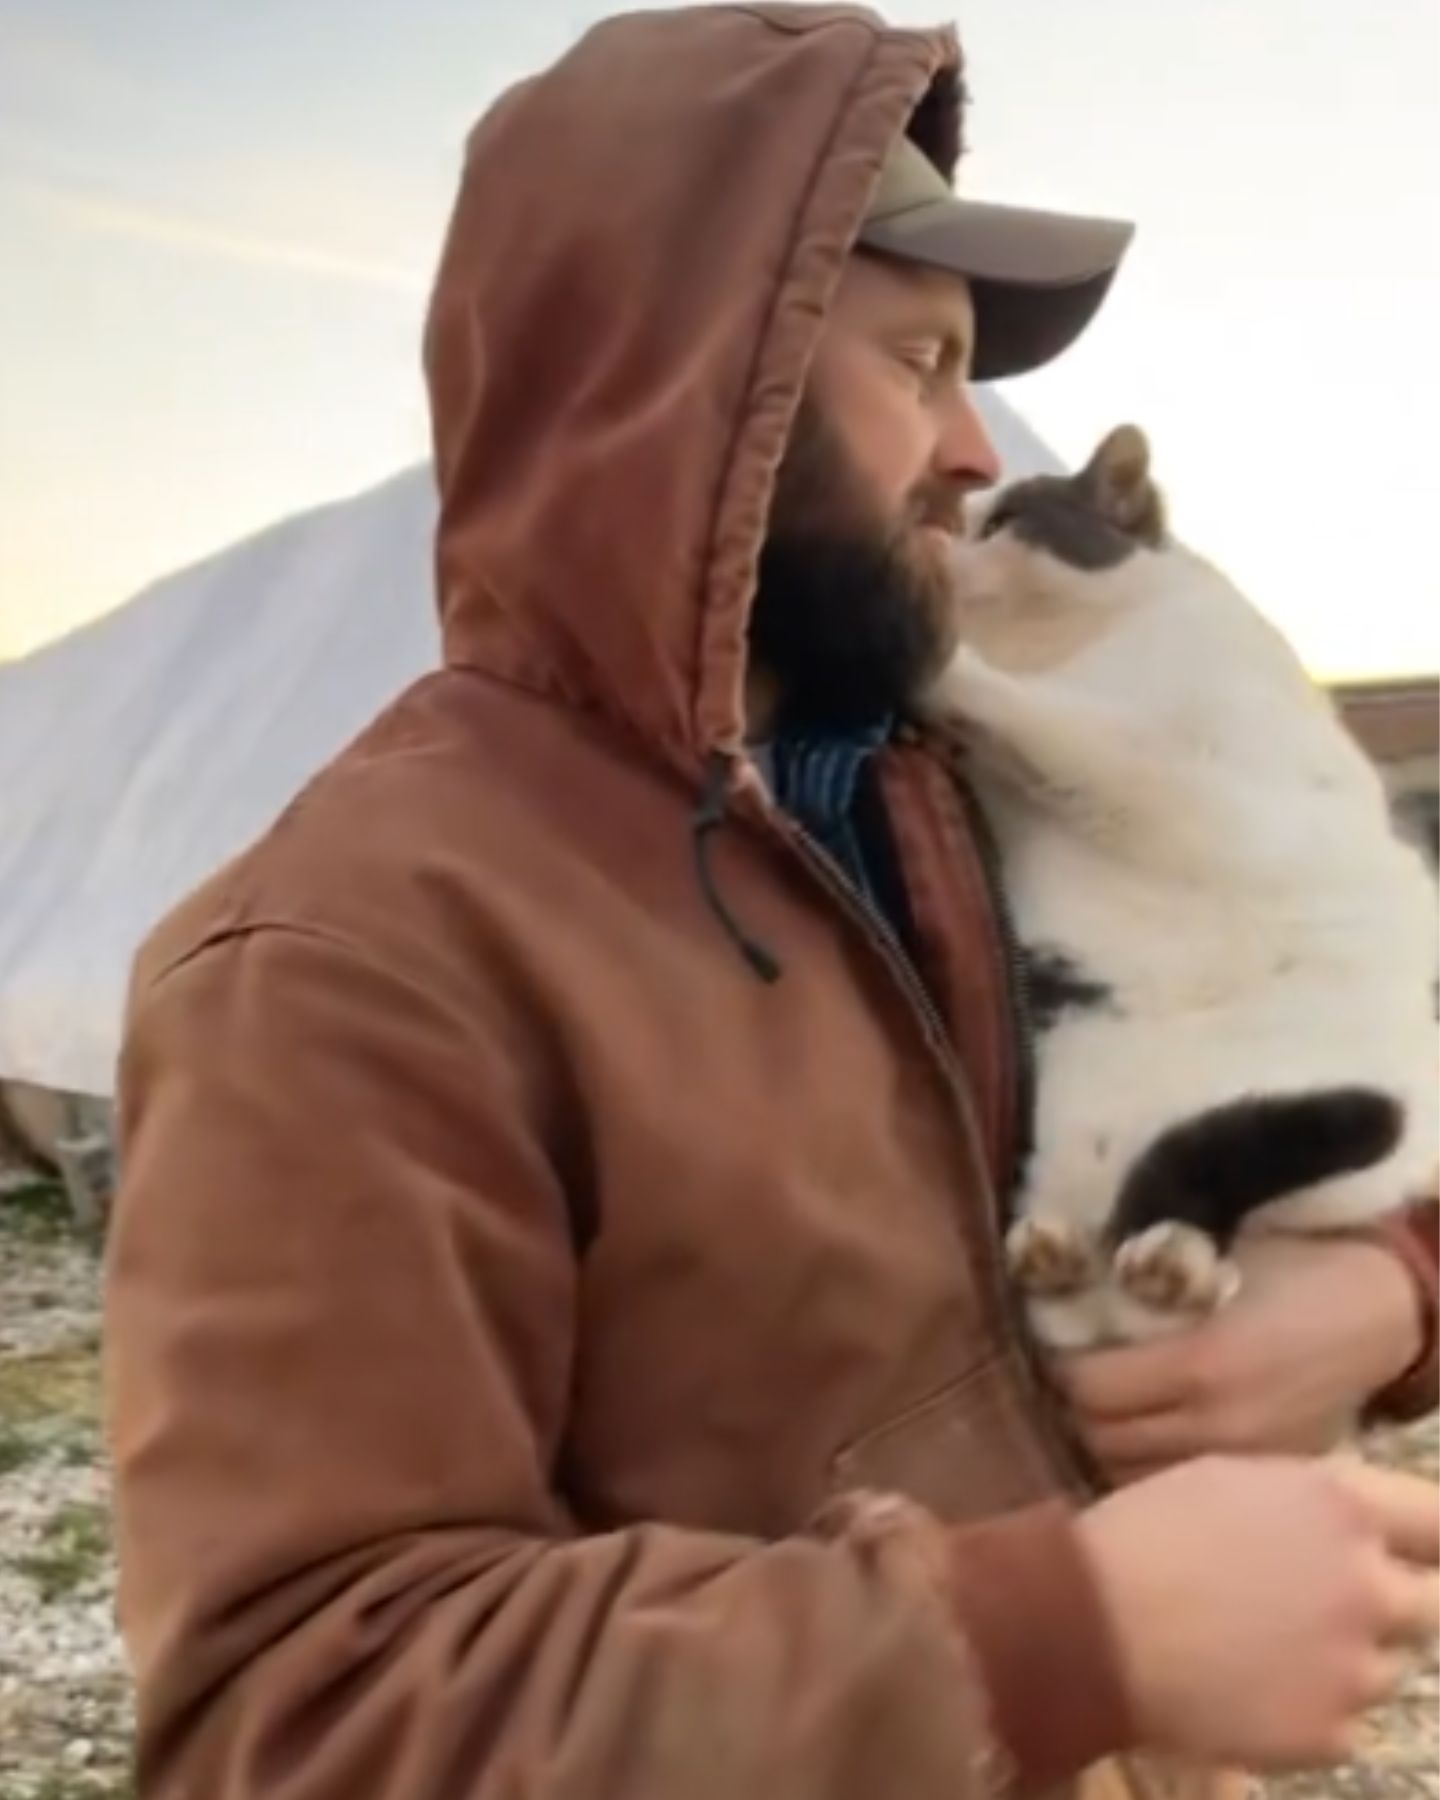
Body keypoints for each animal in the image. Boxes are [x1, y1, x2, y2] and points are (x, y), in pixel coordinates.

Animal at [928, 424, 1432, 1353]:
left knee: (1214, 1185)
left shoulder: (1175, 779)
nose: (938, 543)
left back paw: (1176, 1265)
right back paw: (1070, 1254)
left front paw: (945, 667)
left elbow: (1056, 730)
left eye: (1005, 521)